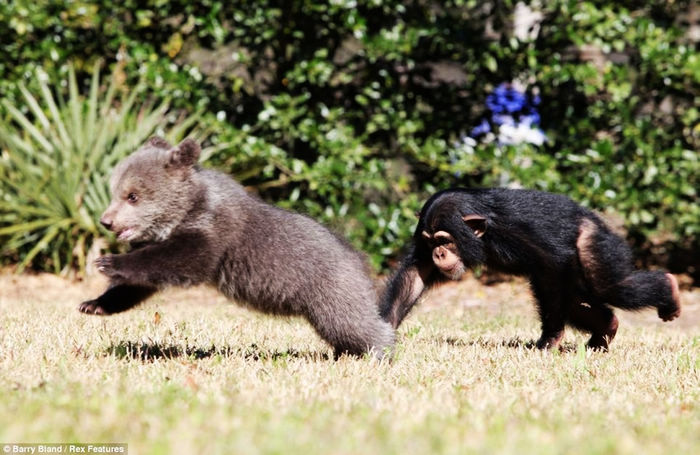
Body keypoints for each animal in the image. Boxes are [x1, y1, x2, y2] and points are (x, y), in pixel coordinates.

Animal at [380, 187, 680, 350]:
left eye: (444, 240)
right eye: (431, 242)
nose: (438, 252)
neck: (485, 230)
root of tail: (598, 220)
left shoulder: (523, 230)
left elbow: (553, 265)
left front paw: (551, 338)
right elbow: (416, 274)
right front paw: (382, 331)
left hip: (595, 244)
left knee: (609, 286)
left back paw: (669, 290)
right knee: (578, 301)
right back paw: (605, 330)